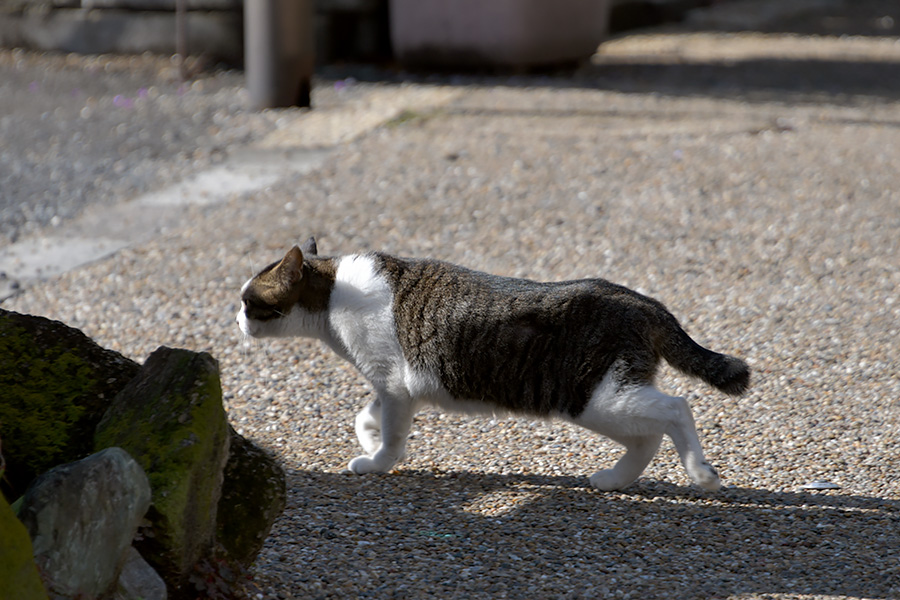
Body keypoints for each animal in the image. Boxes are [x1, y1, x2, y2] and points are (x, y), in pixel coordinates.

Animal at [236, 237, 748, 490]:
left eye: (247, 301)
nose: (235, 318)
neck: (334, 290)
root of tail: (643, 301)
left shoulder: (396, 388)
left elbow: (392, 436)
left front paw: (378, 461)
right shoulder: (393, 387)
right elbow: (366, 415)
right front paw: (368, 438)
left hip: (595, 397)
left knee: (675, 409)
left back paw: (702, 474)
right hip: (606, 400)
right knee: (647, 437)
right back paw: (615, 480)